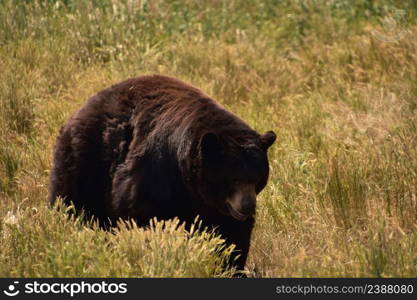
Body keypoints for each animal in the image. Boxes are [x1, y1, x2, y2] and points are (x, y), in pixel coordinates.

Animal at [48, 74, 274, 272]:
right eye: (232, 178)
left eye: (257, 179)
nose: (247, 206)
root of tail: (81, 108)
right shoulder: (156, 174)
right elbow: (144, 217)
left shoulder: (218, 207)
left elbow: (232, 236)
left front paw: (230, 266)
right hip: (85, 161)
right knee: (72, 202)